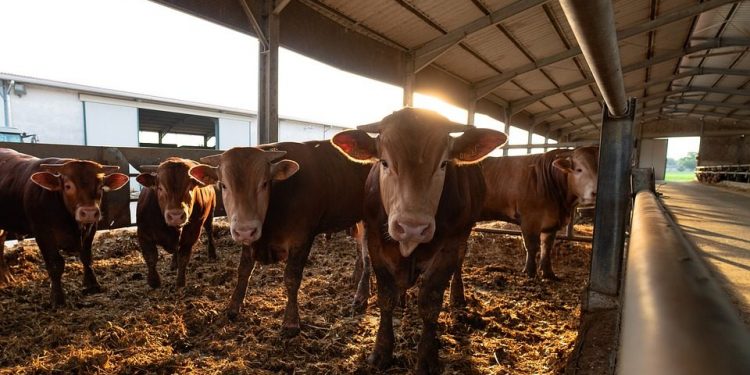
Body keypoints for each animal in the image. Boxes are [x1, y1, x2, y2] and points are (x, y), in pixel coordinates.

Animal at [0, 148, 129, 306]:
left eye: (100, 187)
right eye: (68, 186)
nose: (89, 212)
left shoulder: (92, 227)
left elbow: (86, 257)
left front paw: (92, 284)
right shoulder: (42, 233)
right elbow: (55, 264)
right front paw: (57, 297)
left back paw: (6, 276)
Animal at [135, 157, 216, 290]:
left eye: (190, 187)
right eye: (160, 188)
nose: (176, 216)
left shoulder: (192, 234)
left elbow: (184, 257)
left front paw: (180, 282)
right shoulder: (143, 234)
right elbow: (151, 257)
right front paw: (154, 281)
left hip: (210, 214)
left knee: (209, 231)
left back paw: (212, 253)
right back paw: (173, 263)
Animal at [191, 145, 374, 338]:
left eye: (264, 183)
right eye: (223, 185)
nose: (245, 230)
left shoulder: (301, 239)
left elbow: (292, 278)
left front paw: (291, 322)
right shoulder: (251, 240)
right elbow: (243, 271)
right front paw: (233, 307)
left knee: (367, 255)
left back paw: (362, 296)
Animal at [334, 107, 506, 374]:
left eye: (444, 164)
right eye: (384, 162)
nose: (412, 227)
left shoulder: (449, 247)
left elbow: (430, 303)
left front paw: (426, 358)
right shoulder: (376, 241)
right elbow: (386, 296)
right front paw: (381, 351)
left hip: (465, 233)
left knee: (460, 264)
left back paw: (457, 296)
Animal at [478, 147, 604, 280]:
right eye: (579, 169)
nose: (595, 193)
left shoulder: (551, 223)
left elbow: (547, 247)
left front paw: (548, 273)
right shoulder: (530, 219)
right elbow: (532, 246)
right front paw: (530, 272)